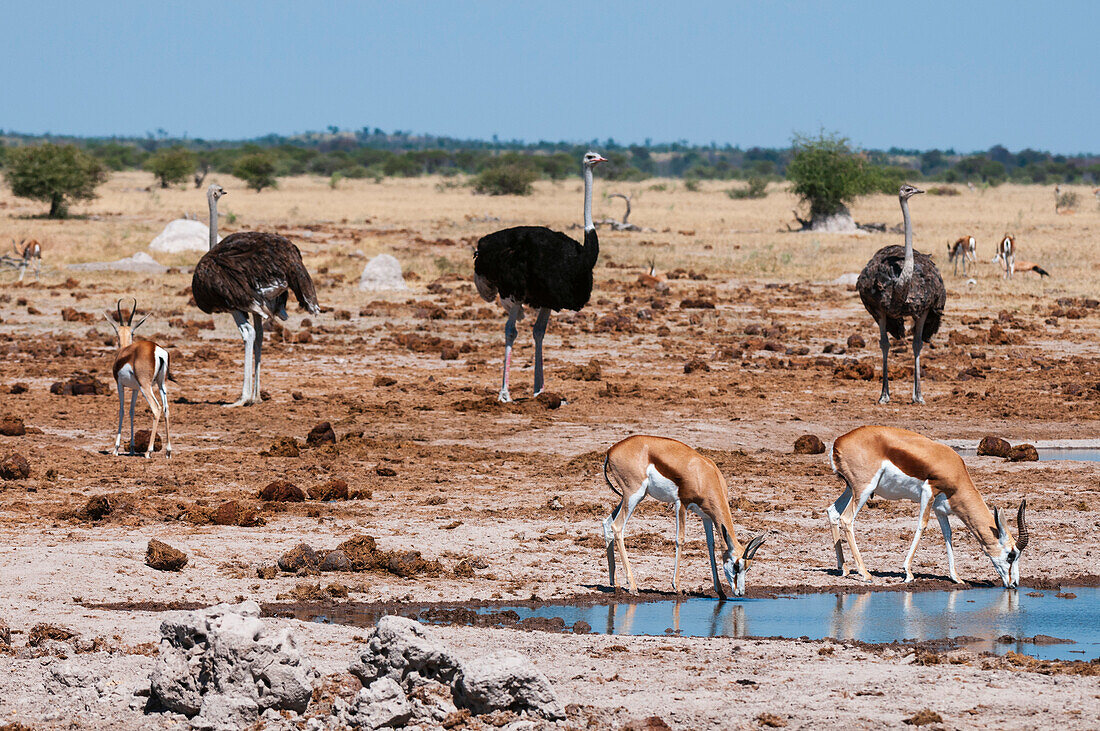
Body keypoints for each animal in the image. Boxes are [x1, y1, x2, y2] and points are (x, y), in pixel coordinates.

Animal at [103, 296, 171, 457]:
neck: (124, 353)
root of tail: (156, 349)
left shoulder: (120, 385)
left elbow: (122, 410)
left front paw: (116, 448)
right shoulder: (135, 389)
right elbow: (132, 411)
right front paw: (132, 448)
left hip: (146, 386)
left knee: (156, 408)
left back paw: (148, 451)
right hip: (161, 384)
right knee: (166, 408)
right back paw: (168, 451)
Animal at [602, 435, 765, 597]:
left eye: (748, 568)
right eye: (736, 566)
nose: (740, 592)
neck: (704, 475)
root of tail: (612, 449)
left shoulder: (706, 516)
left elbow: (710, 545)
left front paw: (720, 591)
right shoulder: (682, 503)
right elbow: (680, 539)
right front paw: (677, 587)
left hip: (629, 497)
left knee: (607, 522)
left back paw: (615, 584)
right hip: (634, 495)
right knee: (617, 527)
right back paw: (633, 587)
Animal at [827, 428, 1025, 589]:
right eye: (1011, 554)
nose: (1014, 584)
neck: (954, 470)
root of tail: (839, 442)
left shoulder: (940, 508)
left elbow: (947, 534)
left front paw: (956, 577)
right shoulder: (928, 492)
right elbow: (922, 525)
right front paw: (908, 573)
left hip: (851, 489)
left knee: (832, 512)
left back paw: (844, 568)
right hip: (865, 489)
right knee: (846, 519)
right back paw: (865, 573)